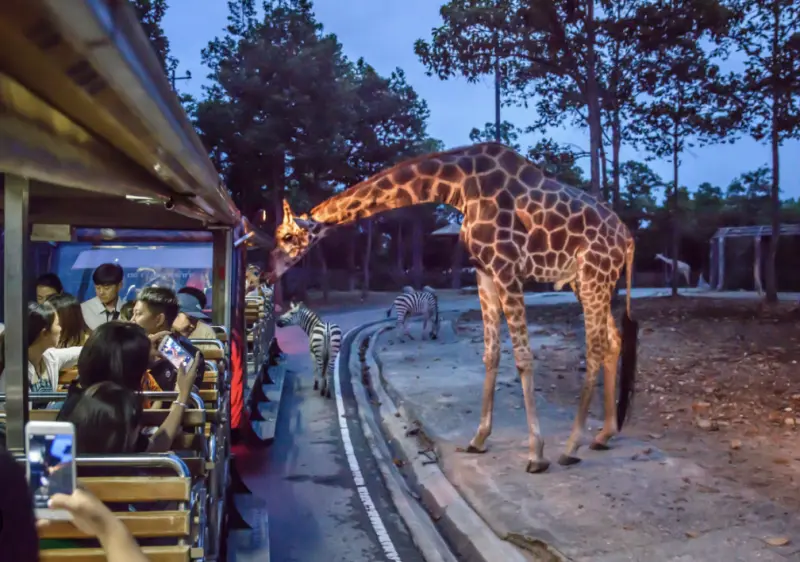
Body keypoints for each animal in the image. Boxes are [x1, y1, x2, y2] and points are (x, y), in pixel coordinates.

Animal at [268, 142, 636, 470]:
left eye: (287, 237)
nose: (269, 270)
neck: (459, 186)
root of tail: (629, 240)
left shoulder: (507, 269)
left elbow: (522, 357)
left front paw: (536, 455)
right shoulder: (485, 273)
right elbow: (491, 354)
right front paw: (478, 440)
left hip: (593, 276)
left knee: (595, 348)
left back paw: (571, 447)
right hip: (588, 282)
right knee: (613, 341)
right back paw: (603, 435)